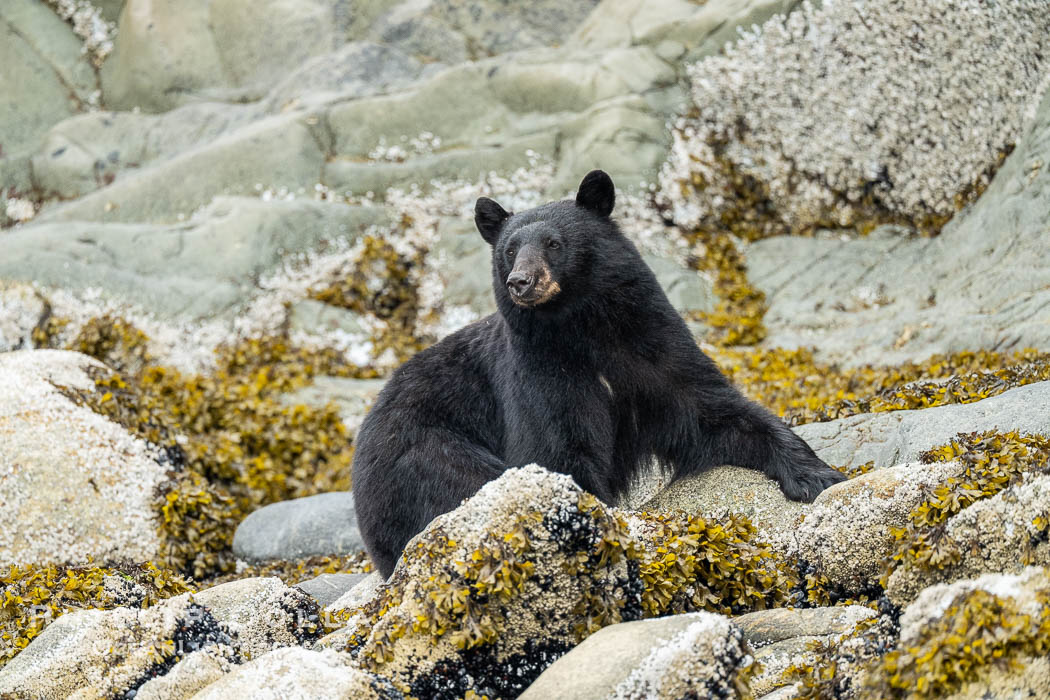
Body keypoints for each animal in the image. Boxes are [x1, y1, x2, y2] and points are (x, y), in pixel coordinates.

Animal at [352, 170, 846, 577]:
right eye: (509, 250)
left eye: (553, 243)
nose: (520, 282)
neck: (584, 327)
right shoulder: (539, 370)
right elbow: (558, 450)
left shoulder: (651, 344)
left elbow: (711, 410)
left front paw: (818, 476)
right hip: (421, 457)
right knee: (463, 481)